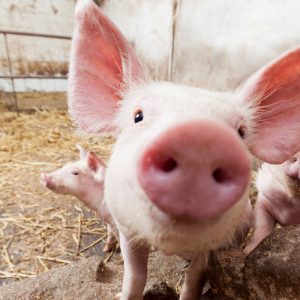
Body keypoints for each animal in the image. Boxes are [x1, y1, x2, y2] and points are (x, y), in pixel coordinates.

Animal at [67, 1, 300, 298]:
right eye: (138, 116)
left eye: (240, 132)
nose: (198, 136)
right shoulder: (127, 230)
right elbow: (134, 275)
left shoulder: (210, 247)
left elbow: (193, 279)